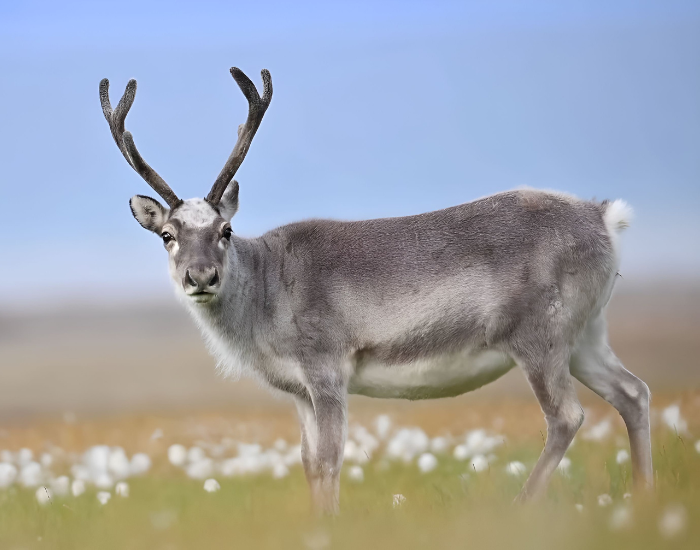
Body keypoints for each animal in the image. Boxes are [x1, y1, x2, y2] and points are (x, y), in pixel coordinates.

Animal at [99, 66, 652, 514]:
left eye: (225, 230)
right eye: (167, 235)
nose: (201, 277)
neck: (267, 286)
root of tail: (603, 216)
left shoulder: (327, 375)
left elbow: (329, 459)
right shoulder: (299, 392)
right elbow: (308, 463)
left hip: (538, 341)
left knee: (566, 417)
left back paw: (521, 507)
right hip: (584, 339)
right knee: (634, 393)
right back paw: (642, 498)